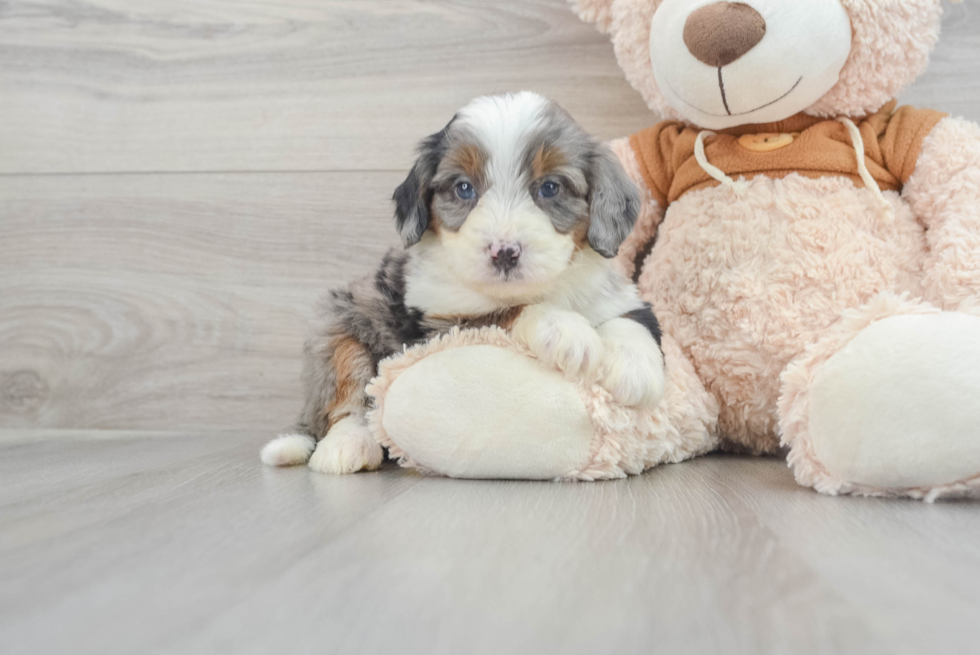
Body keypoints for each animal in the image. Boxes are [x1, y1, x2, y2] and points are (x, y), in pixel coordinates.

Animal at [262, 92, 668, 474]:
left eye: (551, 188)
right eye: (464, 189)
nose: (504, 252)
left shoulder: (616, 294)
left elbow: (630, 319)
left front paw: (635, 368)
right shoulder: (438, 327)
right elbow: (506, 312)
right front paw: (565, 329)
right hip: (338, 323)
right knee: (344, 401)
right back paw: (345, 447)